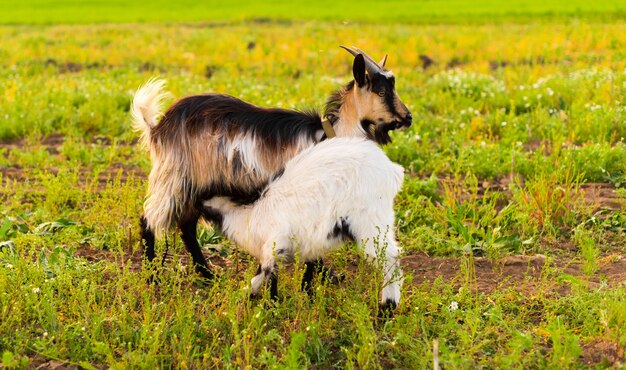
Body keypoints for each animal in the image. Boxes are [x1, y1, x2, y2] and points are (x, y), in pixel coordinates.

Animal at [131, 45, 412, 280]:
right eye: (382, 91)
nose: (408, 118)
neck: (331, 136)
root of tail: (158, 127)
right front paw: (318, 281)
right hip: (175, 178)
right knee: (150, 220)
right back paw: (153, 276)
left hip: (194, 184)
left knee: (186, 226)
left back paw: (207, 276)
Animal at [202, 137, 402, 310]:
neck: (252, 212)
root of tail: (391, 170)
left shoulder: (275, 243)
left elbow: (268, 272)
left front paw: (271, 304)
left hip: (369, 222)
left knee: (389, 257)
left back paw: (387, 307)